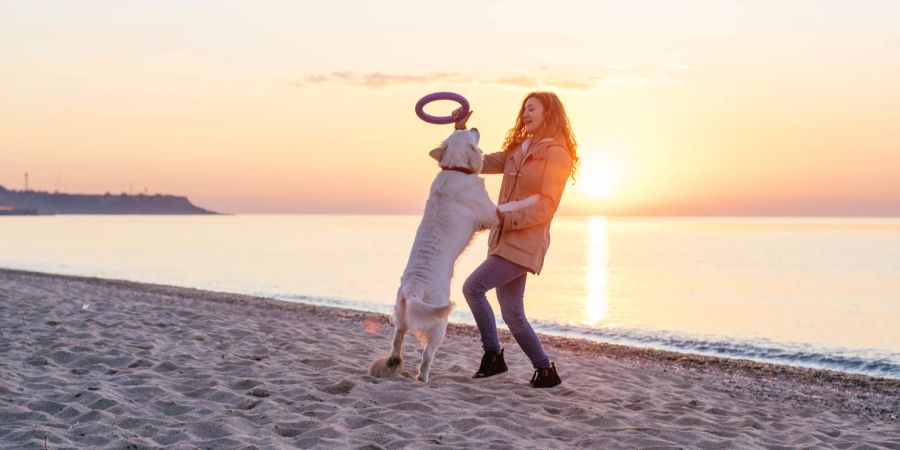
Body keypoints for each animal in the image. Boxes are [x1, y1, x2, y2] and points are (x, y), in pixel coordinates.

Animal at [370, 128, 536, 382]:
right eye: (468, 133)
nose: (474, 127)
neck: (454, 169)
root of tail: (413, 288)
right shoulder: (492, 213)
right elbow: (511, 206)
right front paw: (535, 199)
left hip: (401, 314)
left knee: (396, 343)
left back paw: (393, 364)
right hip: (439, 323)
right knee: (426, 356)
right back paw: (423, 378)